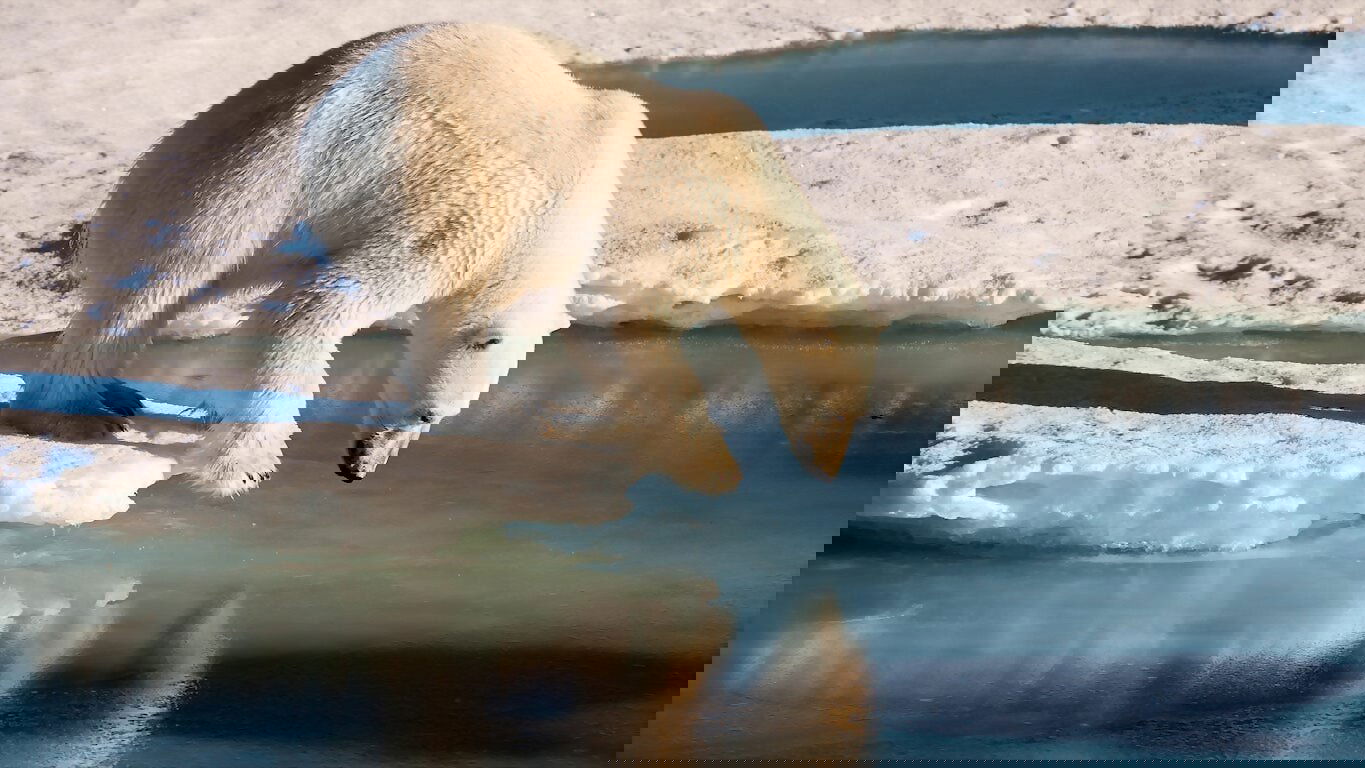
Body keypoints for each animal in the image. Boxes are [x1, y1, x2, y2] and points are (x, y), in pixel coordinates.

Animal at [0, 23, 647, 497]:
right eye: (426, 418)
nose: (361, 459)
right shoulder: (471, 204)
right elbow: (319, 303)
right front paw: (232, 466)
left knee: (199, 281)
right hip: (253, 179)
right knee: (173, 279)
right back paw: (85, 415)